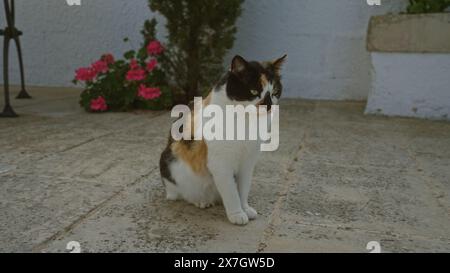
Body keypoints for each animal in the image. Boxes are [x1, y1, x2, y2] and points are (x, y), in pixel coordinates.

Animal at [159, 54, 284, 224]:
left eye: (275, 92)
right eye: (253, 91)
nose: (269, 105)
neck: (245, 121)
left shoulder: (248, 162)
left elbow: (243, 189)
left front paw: (245, 209)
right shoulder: (221, 164)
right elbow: (231, 192)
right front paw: (237, 214)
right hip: (172, 167)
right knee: (181, 193)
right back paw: (201, 201)